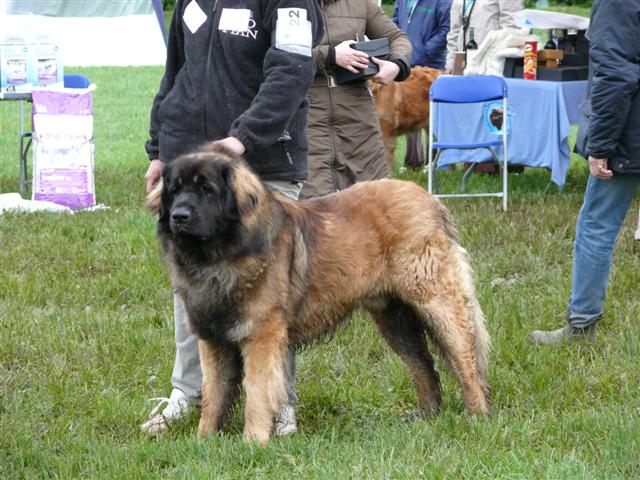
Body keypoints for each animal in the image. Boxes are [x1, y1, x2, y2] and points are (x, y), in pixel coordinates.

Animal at [148, 147, 490, 446]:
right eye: (175, 190)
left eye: (207, 189)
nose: (179, 216)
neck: (218, 257)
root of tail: (429, 199)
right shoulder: (213, 337)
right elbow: (213, 392)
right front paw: (203, 440)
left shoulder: (261, 336)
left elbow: (257, 390)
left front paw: (252, 441)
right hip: (394, 319)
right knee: (423, 363)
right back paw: (427, 416)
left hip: (436, 302)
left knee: (465, 358)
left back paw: (477, 416)